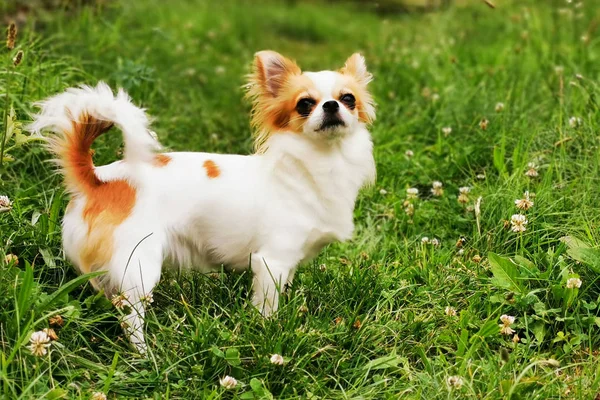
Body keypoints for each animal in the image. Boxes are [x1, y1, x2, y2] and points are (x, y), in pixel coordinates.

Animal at [29, 50, 376, 354]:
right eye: (305, 104)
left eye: (348, 99)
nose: (332, 105)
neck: (320, 163)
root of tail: (99, 179)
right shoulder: (272, 261)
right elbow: (267, 306)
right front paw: (268, 334)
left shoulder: (286, 262)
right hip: (139, 264)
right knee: (131, 319)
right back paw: (145, 356)